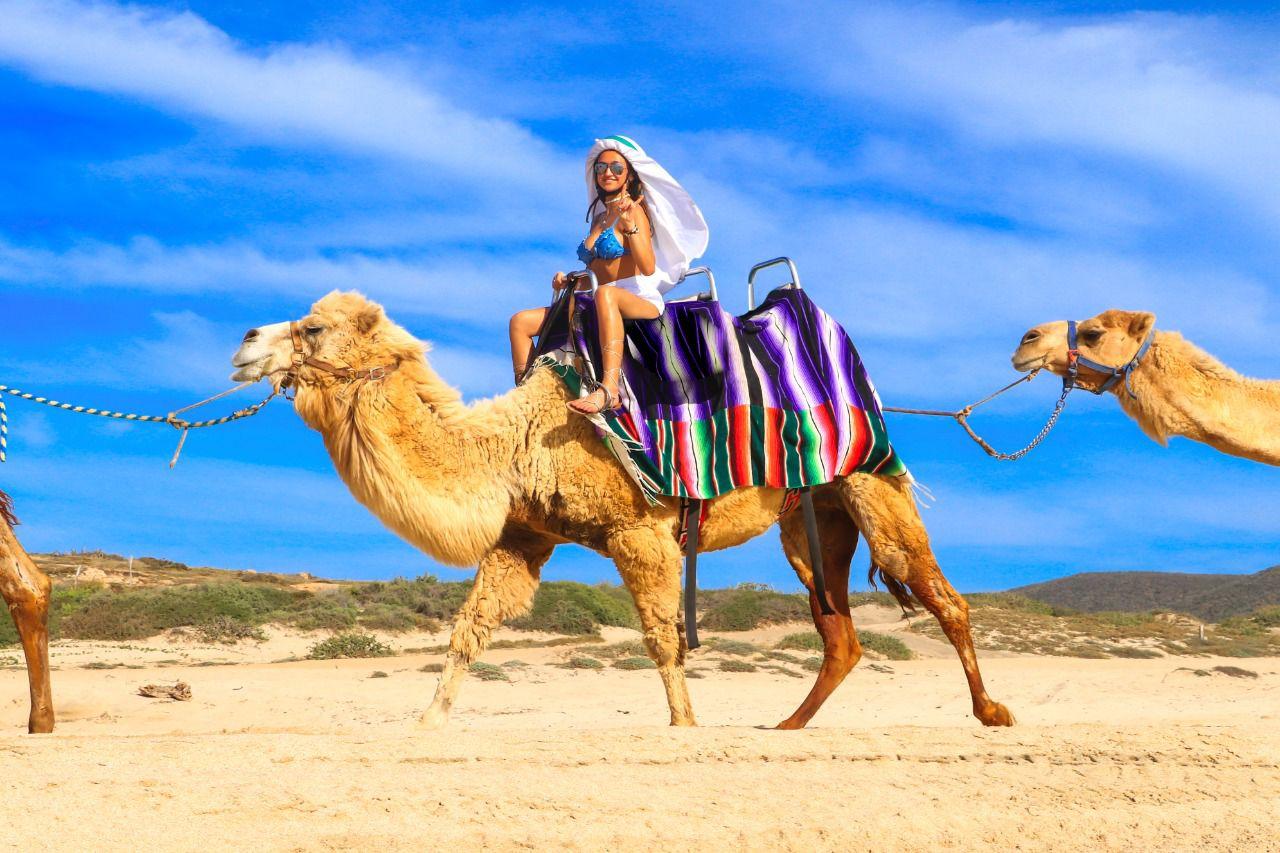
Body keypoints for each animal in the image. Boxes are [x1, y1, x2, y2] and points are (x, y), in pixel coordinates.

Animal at [230, 291, 1013, 730]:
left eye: (313, 329)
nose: (245, 341)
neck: (522, 442)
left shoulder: (640, 530)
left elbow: (663, 640)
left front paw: (684, 724)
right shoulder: (522, 535)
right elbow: (468, 631)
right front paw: (428, 720)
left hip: (869, 480)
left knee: (939, 592)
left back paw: (991, 711)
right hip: (809, 514)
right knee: (840, 631)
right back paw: (788, 725)